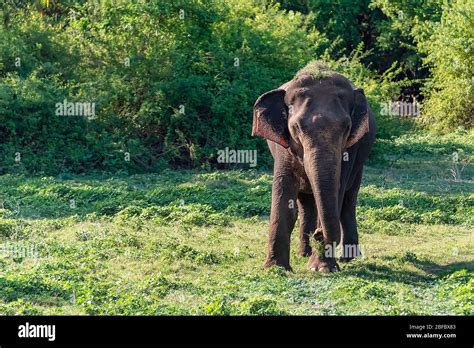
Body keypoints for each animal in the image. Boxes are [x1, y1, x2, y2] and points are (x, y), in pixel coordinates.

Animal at [252, 61, 374, 274]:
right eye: (297, 127)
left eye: (346, 128)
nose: (318, 233)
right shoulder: (283, 147)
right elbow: (284, 197)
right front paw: (276, 269)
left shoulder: (349, 151)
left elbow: (337, 192)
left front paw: (322, 268)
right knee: (306, 205)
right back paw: (304, 253)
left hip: (360, 162)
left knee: (348, 203)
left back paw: (348, 259)